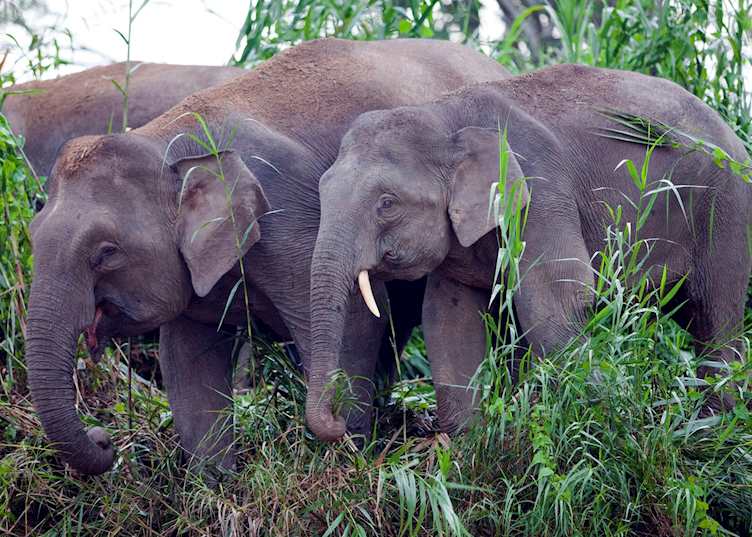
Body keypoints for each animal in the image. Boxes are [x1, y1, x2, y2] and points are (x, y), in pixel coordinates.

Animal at [306, 64, 751, 441]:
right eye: (323, 189)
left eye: (387, 203)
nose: (343, 424)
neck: (444, 113)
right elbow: (448, 317)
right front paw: (470, 442)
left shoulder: (539, 190)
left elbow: (557, 299)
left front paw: (586, 417)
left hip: (727, 211)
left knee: (716, 316)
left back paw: (707, 428)